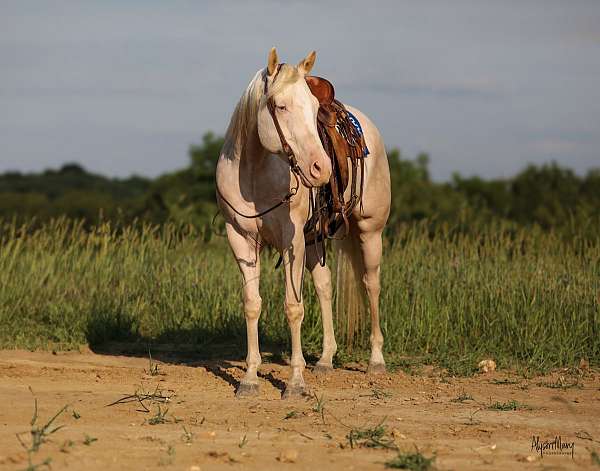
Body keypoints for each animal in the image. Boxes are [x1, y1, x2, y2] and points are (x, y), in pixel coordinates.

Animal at [218, 48, 392, 398]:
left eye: (313, 110)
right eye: (280, 105)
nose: (320, 168)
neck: (254, 173)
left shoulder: (292, 241)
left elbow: (293, 306)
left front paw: (295, 384)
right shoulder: (240, 238)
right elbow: (252, 304)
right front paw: (249, 378)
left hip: (370, 230)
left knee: (371, 284)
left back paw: (376, 360)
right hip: (315, 240)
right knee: (325, 286)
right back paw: (325, 360)